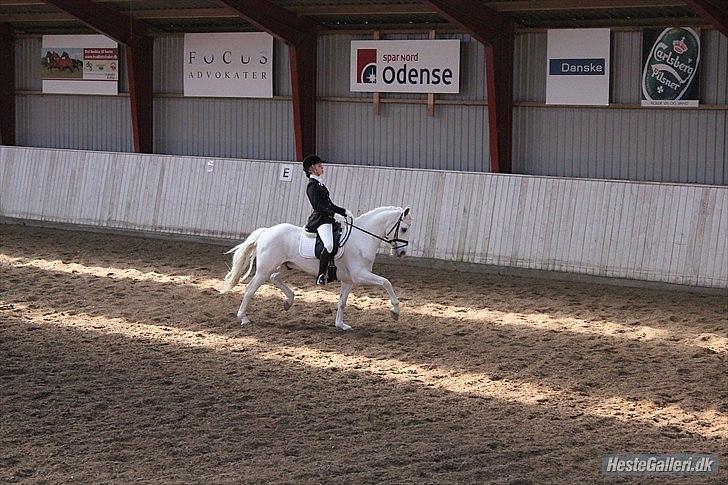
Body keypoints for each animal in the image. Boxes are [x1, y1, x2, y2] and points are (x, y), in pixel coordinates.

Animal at [220, 206, 412, 331]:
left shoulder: (349, 280)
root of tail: (267, 231)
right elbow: (386, 282)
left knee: (274, 278)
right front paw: (395, 311)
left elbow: (342, 302)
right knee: (250, 290)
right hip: (264, 270)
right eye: (403, 228)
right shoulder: (360, 275)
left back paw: (288, 302)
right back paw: (244, 318)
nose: (402, 253)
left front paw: (341, 325)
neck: (361, 238)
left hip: (286, 266)